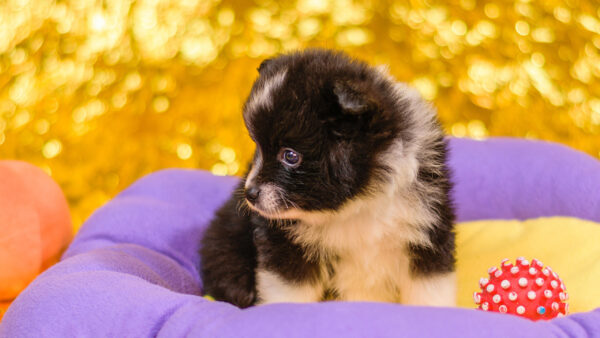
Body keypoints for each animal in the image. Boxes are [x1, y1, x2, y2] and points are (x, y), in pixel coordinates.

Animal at [200, 48, 454, 308]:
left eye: (290, 156)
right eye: (258, 148)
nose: (249, 194)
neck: (355, 205)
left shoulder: (427, 228)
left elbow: (429, 288)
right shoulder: (288, 244)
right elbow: (288, 292)